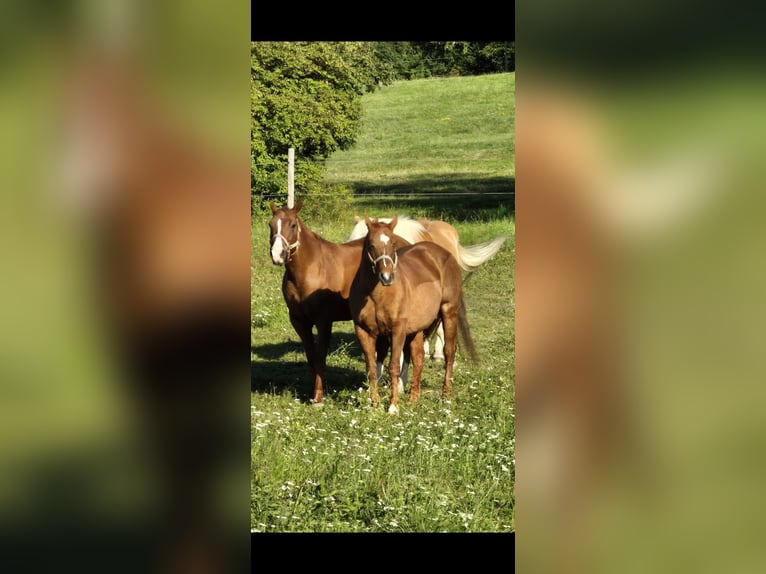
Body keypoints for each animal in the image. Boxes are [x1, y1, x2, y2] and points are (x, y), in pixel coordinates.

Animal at [348, 217, 479, 414]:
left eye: (394, 244)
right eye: (371, 245)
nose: (387, 277)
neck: (376, 294)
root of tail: (444, 253)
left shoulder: (397, 330)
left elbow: (394, 366)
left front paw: (393, 406)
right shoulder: (364, 331)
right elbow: (372, 367)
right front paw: (375, 405)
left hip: (449, 312)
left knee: (449, 352)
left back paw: (445, 396)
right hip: (417, 328)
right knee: (418, 357)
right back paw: (413, 399)